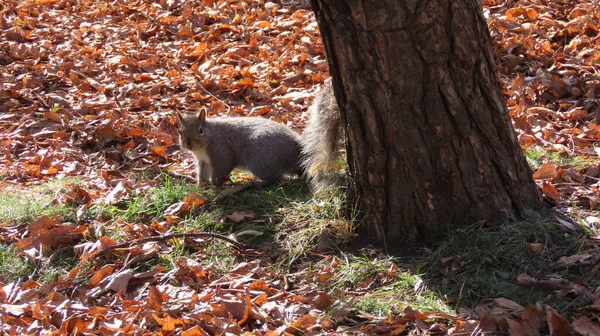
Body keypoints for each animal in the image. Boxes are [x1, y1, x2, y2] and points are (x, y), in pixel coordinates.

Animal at [176, 80, 342, 190]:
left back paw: (256, 183)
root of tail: (299, 151)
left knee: (275, 179)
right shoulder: (202, 161)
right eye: (179, 131)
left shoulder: (221, 152)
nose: (188, 144)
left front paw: (214, 185)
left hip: (258, 158)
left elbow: (221, 170)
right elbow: (201, 173)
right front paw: (200, 185)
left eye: (201, 130)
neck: (203, 147)